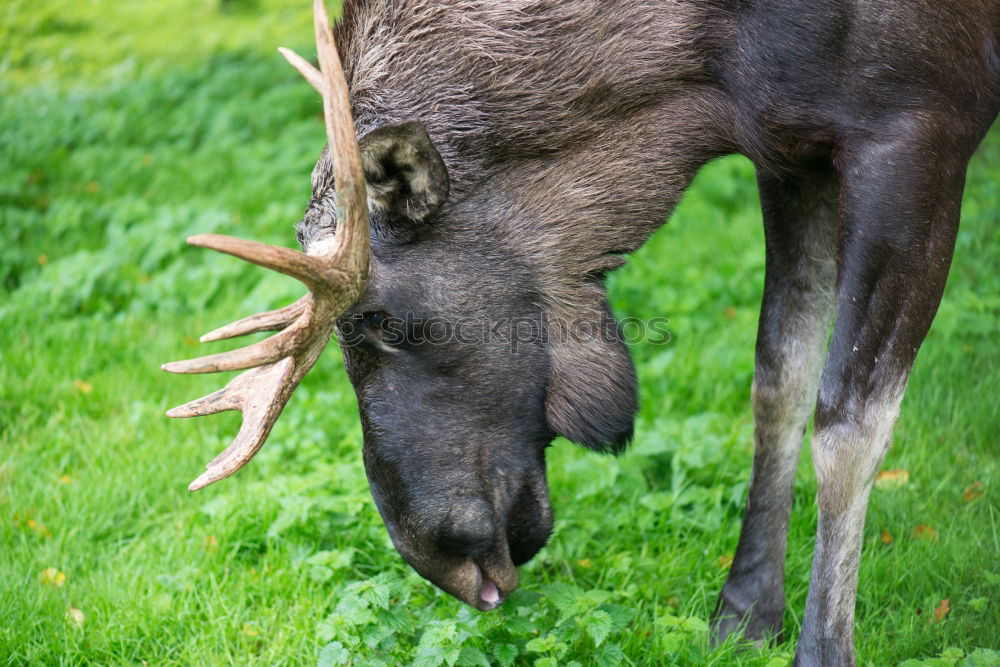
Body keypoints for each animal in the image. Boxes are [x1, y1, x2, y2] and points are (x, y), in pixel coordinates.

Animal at [164, 2, 1000, 664]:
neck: (716, 58)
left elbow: (849, 424)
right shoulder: (790, 149)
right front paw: (744, 612)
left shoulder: (918, 126)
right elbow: (777, 381)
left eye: (377, 317)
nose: (439, 556)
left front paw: (823, 648)